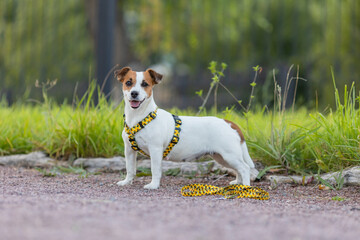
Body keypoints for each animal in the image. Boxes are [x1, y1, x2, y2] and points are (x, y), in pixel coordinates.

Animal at [114, 66, 258, 188]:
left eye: (145, 84)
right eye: (128, 82)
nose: (134, 93)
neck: (139, 117)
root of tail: (228, 122)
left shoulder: (155, 150)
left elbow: (155, 170)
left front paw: (153, 185)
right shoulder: (129, 150)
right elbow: (130, 169)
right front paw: (126, 182)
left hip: (229, 155)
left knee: (244, 168)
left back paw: (245, 187)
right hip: (222, 157)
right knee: (238, 169)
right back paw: (237, 182)